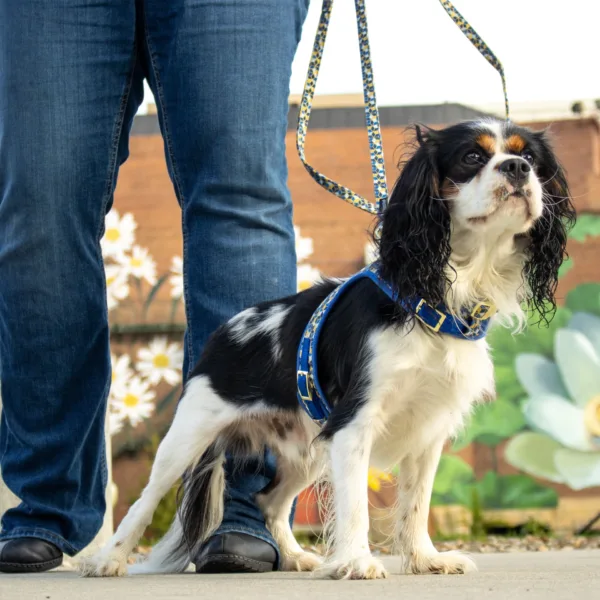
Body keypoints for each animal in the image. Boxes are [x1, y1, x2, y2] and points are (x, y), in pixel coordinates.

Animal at [79, 118, 572, 580]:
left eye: (531, 159)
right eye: (472, 157)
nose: (517, 168)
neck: (435, 298)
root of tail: (224, 332)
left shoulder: (426, 431)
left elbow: (416, 504)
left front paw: (424, 559)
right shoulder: (354, 422)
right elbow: (355, 506)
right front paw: (357, 562)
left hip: (308, 449)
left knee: (269, 501)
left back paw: (294, 556)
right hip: (188, 435)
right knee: (143, 504)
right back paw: (106, 560)